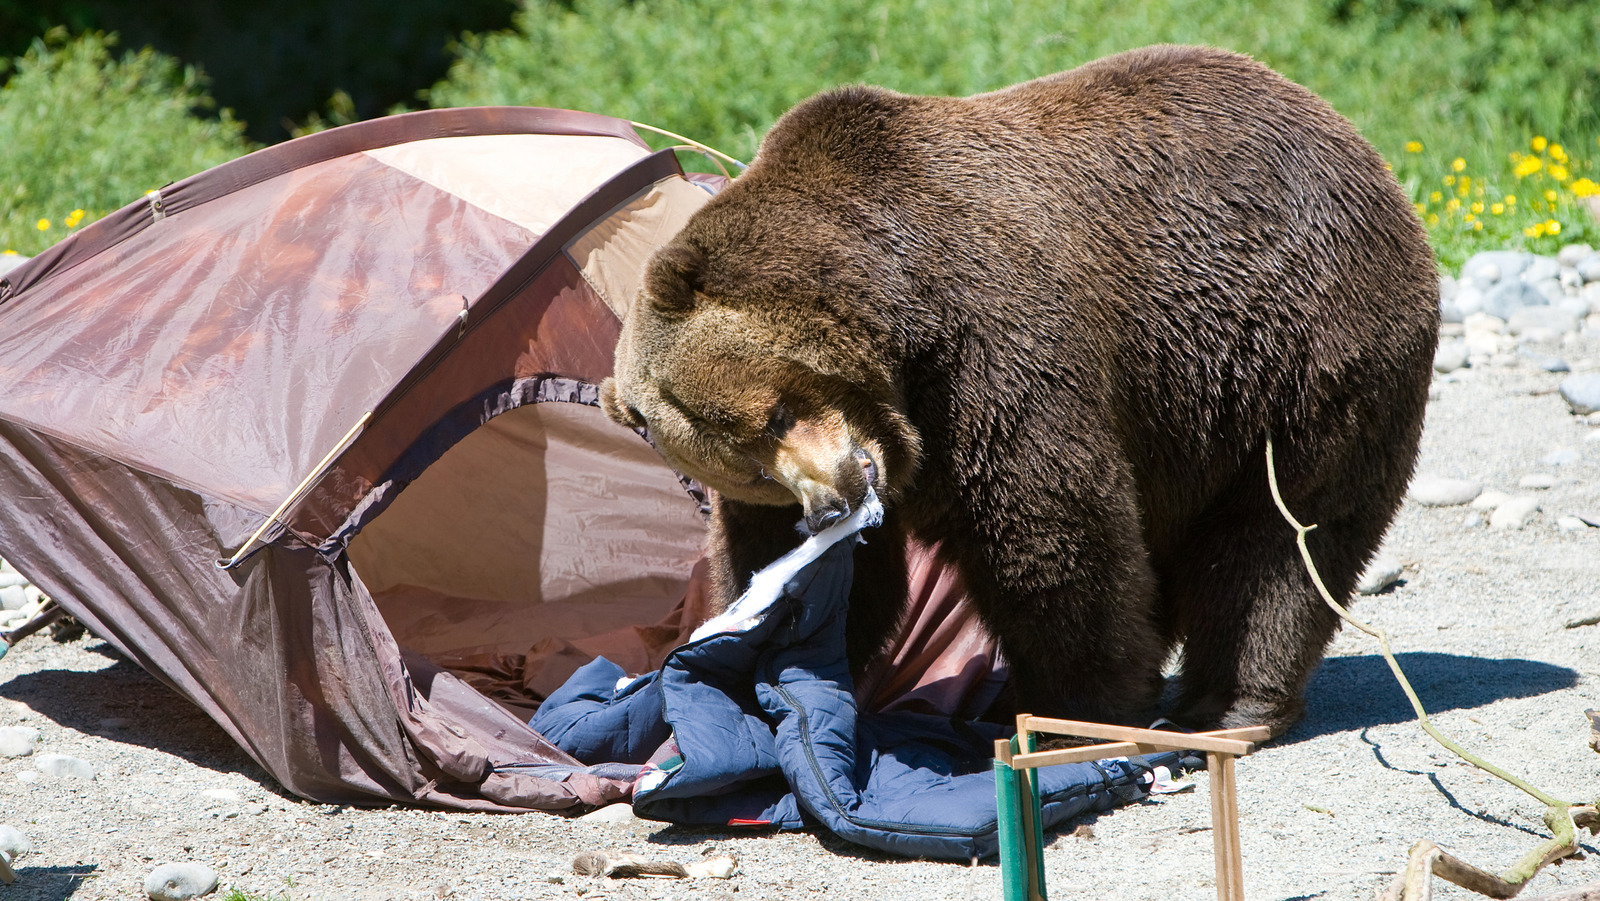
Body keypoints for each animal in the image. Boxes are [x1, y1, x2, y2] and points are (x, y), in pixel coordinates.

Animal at [599, 44, 1439, 736]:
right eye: (748, 464)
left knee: (1284, 529)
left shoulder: (990, 340)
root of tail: (1352, 137)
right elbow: (807, 569)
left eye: (776, 412)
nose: (833, 499)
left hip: (1300, 343)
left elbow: (1047, 525)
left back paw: (1231, 701)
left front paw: (1073, 702)